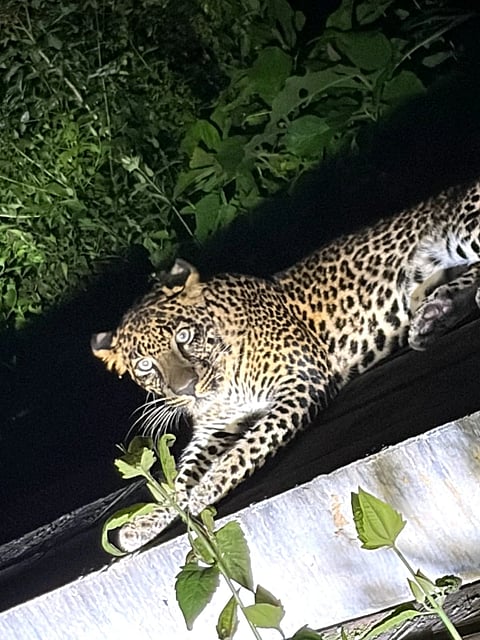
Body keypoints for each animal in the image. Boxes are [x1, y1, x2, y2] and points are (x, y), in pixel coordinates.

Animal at [92, 179, 480, 552]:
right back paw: (434, 314)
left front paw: (199, 498)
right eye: (144, 365)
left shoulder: (300, 380)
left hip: (464, 227)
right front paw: (146, 522)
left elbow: (240, 454)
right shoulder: (213, 427)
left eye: (184, 335)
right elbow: (180, 477)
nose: (187, 389)